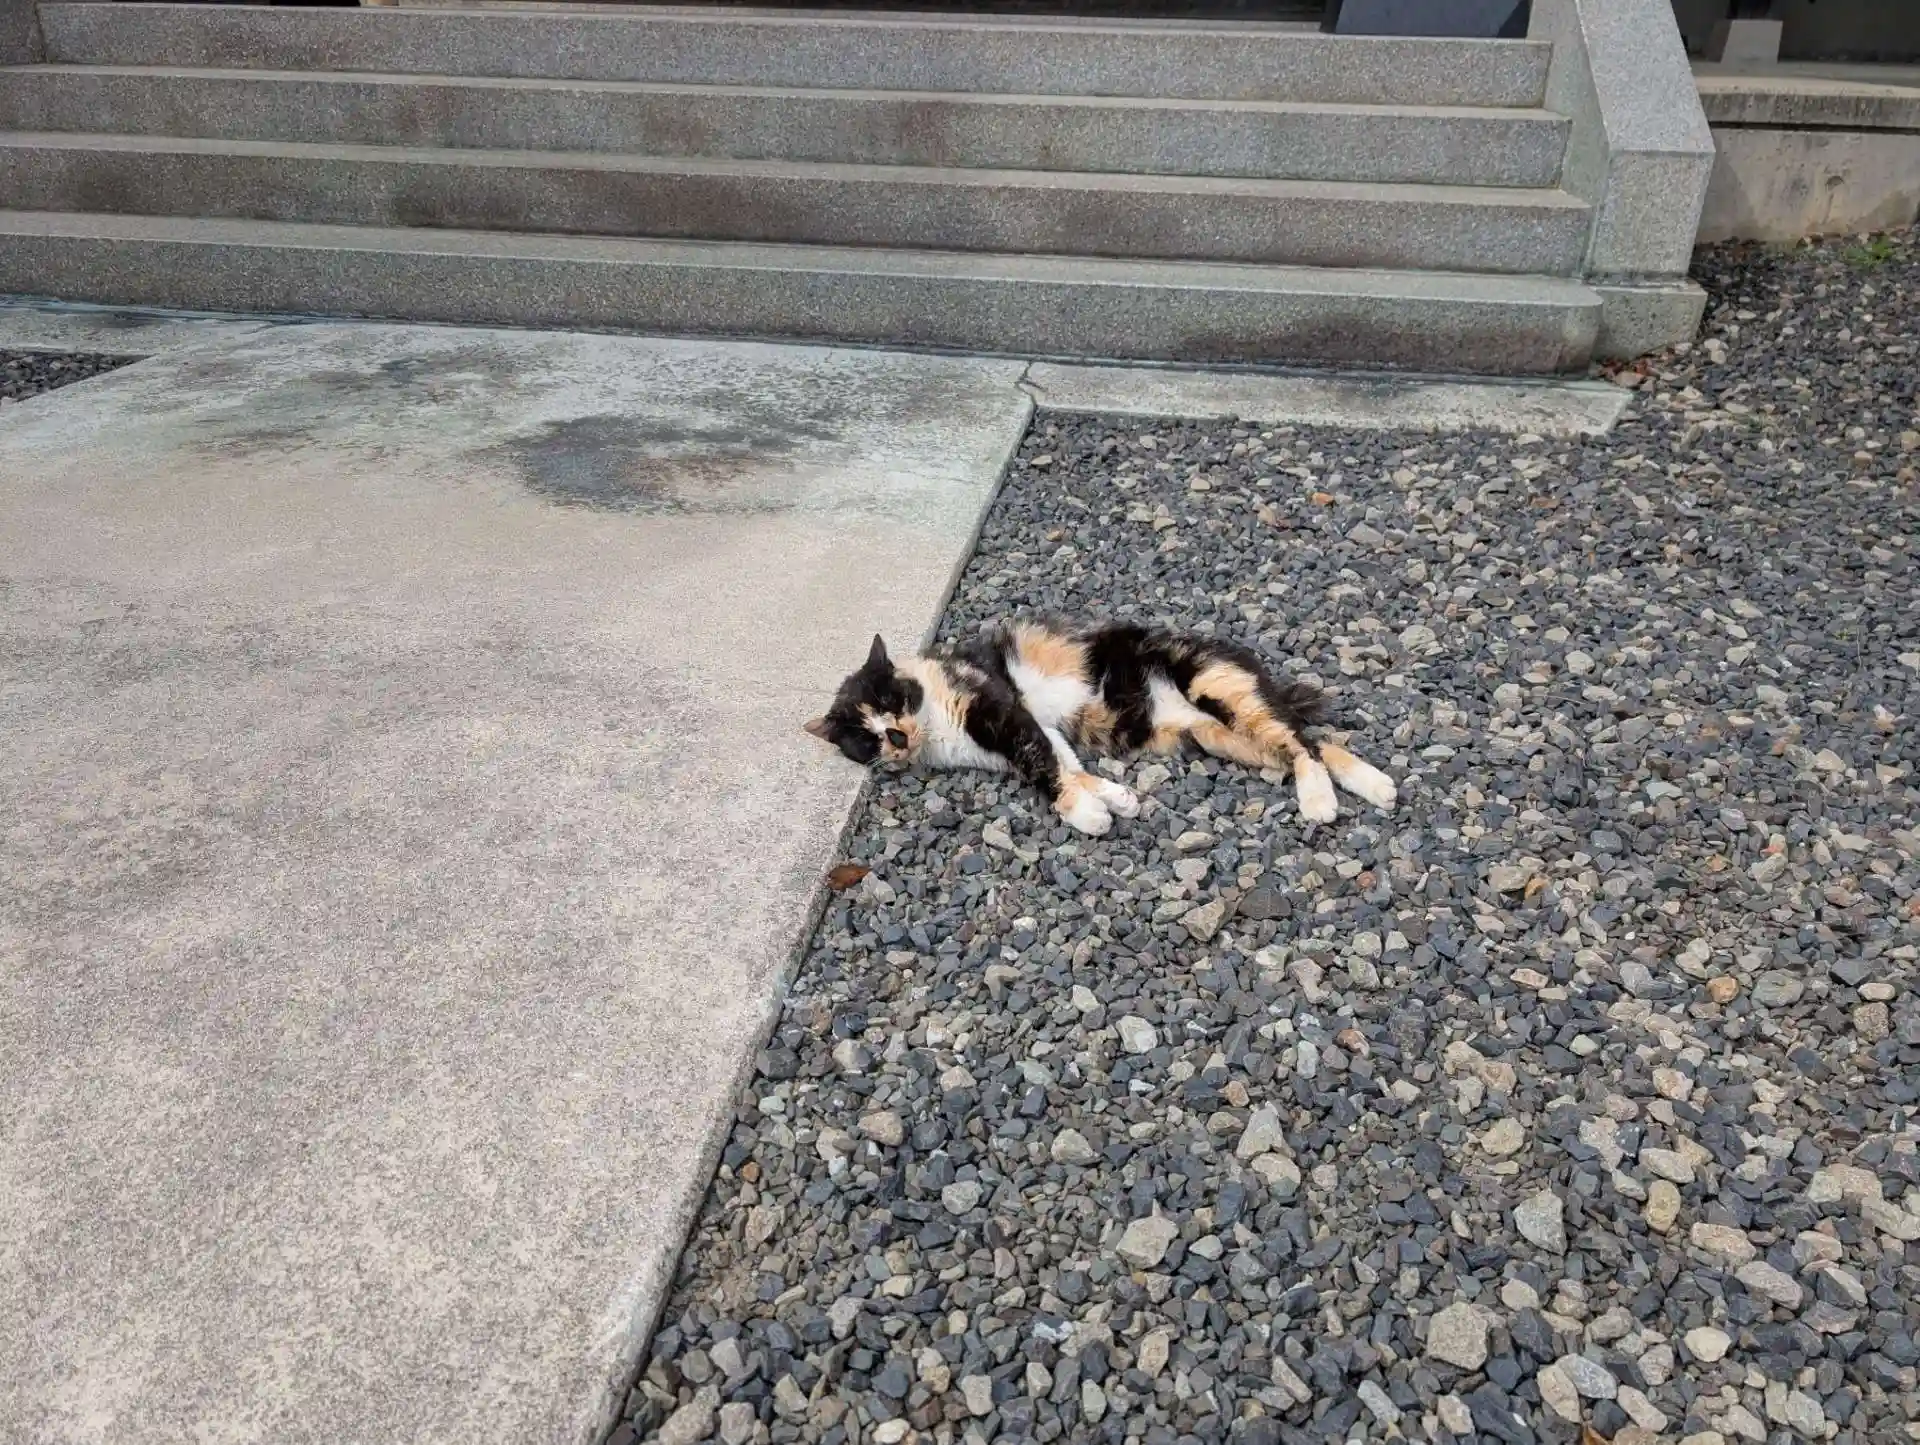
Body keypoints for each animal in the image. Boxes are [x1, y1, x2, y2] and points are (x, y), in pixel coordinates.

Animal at [804, 619, 1396, 836]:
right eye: (864, 736)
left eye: (890, 698)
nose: (895, 736)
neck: (936, 728)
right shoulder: (1032, 728)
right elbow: (1065, 762)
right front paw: (1114, 797)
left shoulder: (999, 708)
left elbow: (1045, 771)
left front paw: (1086, 815)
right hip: (1220, 735)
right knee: (1309, 741)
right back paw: (1375, 785)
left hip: (1218, 685)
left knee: (1300, 742)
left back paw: (1321, 801)